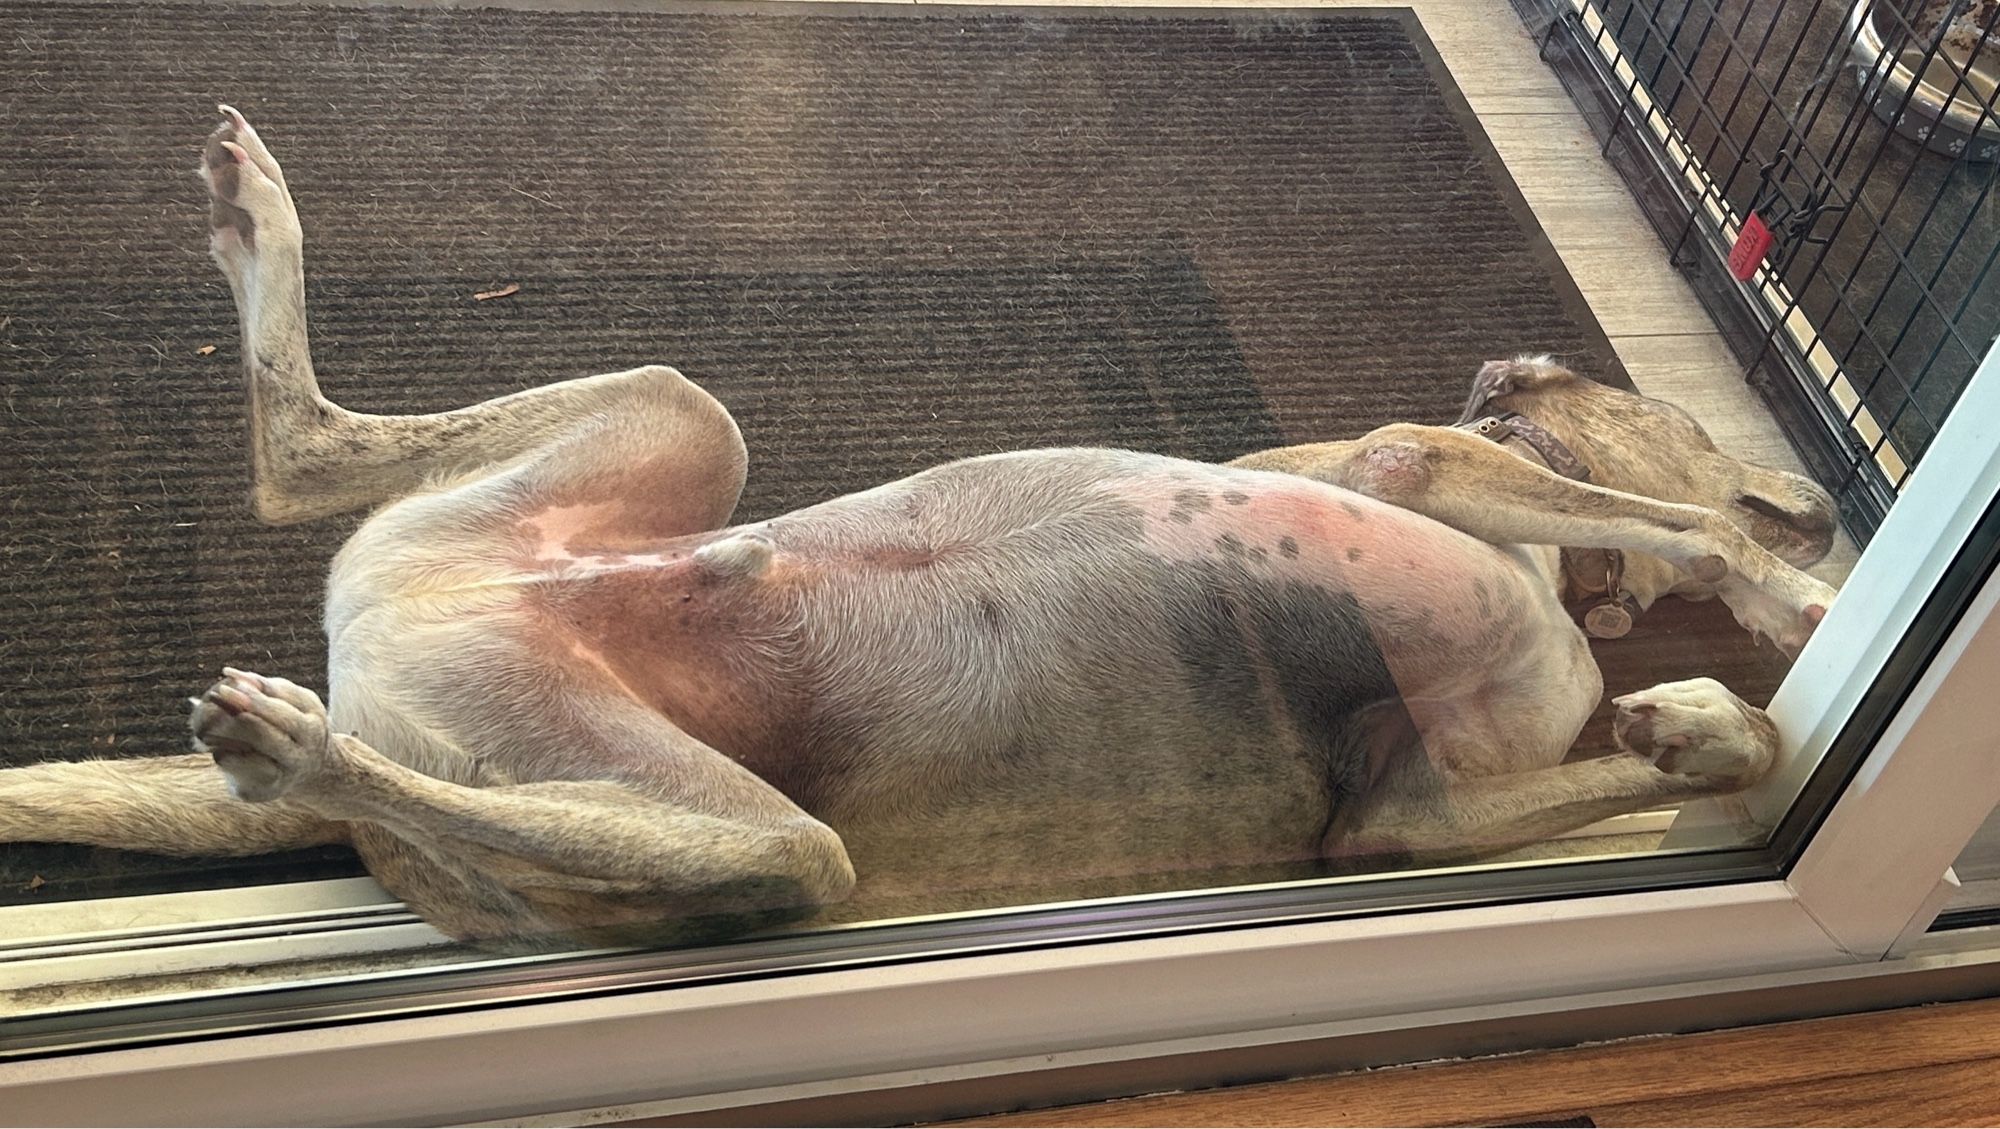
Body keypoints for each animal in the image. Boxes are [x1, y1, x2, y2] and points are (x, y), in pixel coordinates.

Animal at [0, 112, 1832, 944]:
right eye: (1671, 401)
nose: (1818, 495)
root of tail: (387, 650)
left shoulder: (1397, 814)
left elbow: (1673, 733)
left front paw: (1697, 716)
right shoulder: (1419, 469)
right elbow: (1670, 522)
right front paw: (1781, 597)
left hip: (647, 495)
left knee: (305, 464)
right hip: (669, 570)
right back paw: (286, 736)